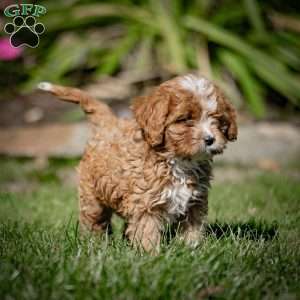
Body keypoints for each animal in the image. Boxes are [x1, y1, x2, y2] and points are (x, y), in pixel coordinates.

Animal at [38, 74, 238, 252]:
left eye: (217, 119)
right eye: (185, 119)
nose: (210, 139)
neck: (177, 160)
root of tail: (109, 122)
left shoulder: (195, 202)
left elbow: (192, 228)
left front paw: (191, 249)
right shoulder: (145, 204)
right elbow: (147, 231)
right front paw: (151, 255)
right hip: (91, 194)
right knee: (94, 220)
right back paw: (94, 243)